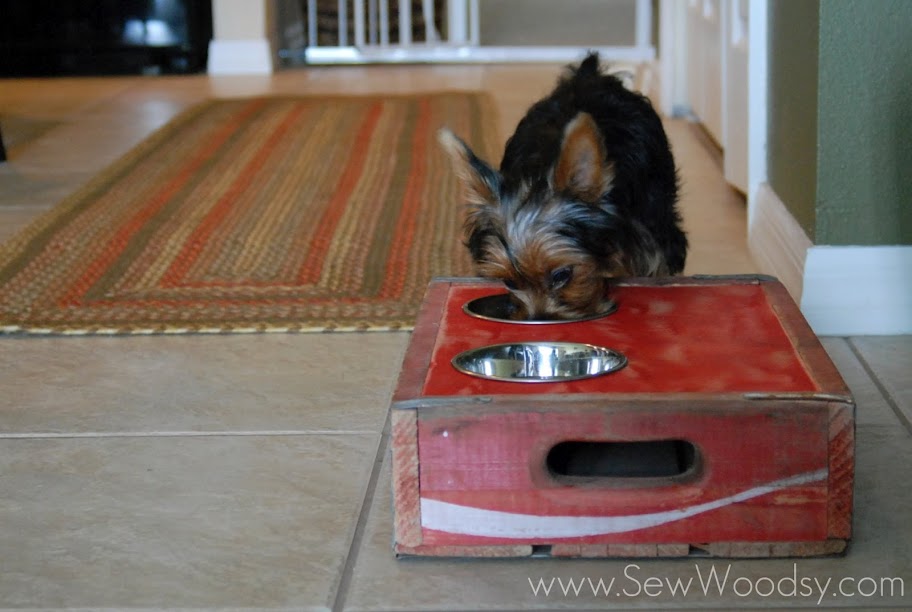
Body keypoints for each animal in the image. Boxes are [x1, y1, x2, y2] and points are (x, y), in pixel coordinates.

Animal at [438, 52, 688, 320]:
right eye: (509, 282)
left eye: (562, 275)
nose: (540, 319)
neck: (540, 172)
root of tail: (588, 77)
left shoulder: (648, 238)